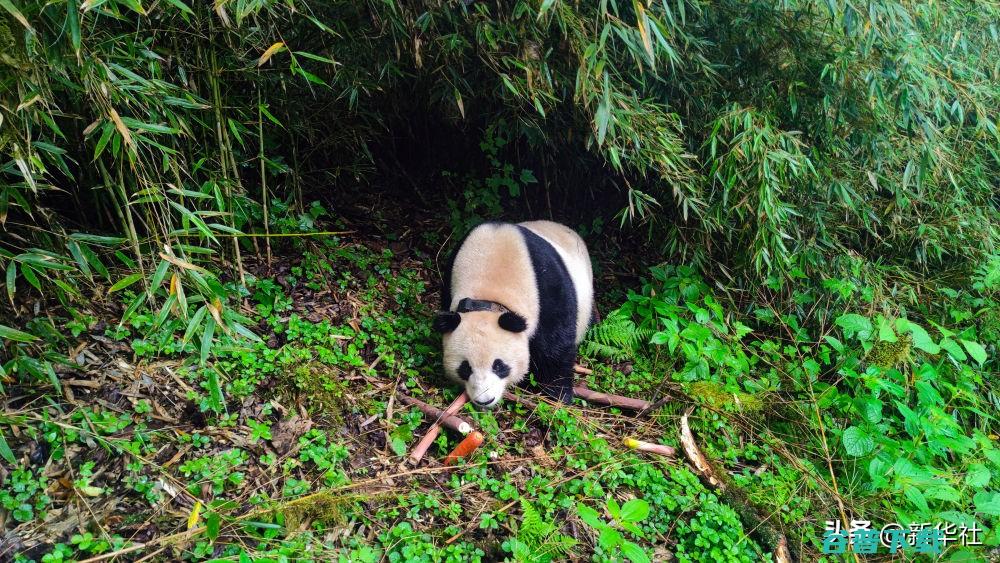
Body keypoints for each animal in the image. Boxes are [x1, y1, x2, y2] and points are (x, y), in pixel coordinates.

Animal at [432, 220, 592, 410]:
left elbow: (555, 344)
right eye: (465, 368)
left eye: (499, 366)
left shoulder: (546, 288)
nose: (484, 400)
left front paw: (559, 395)